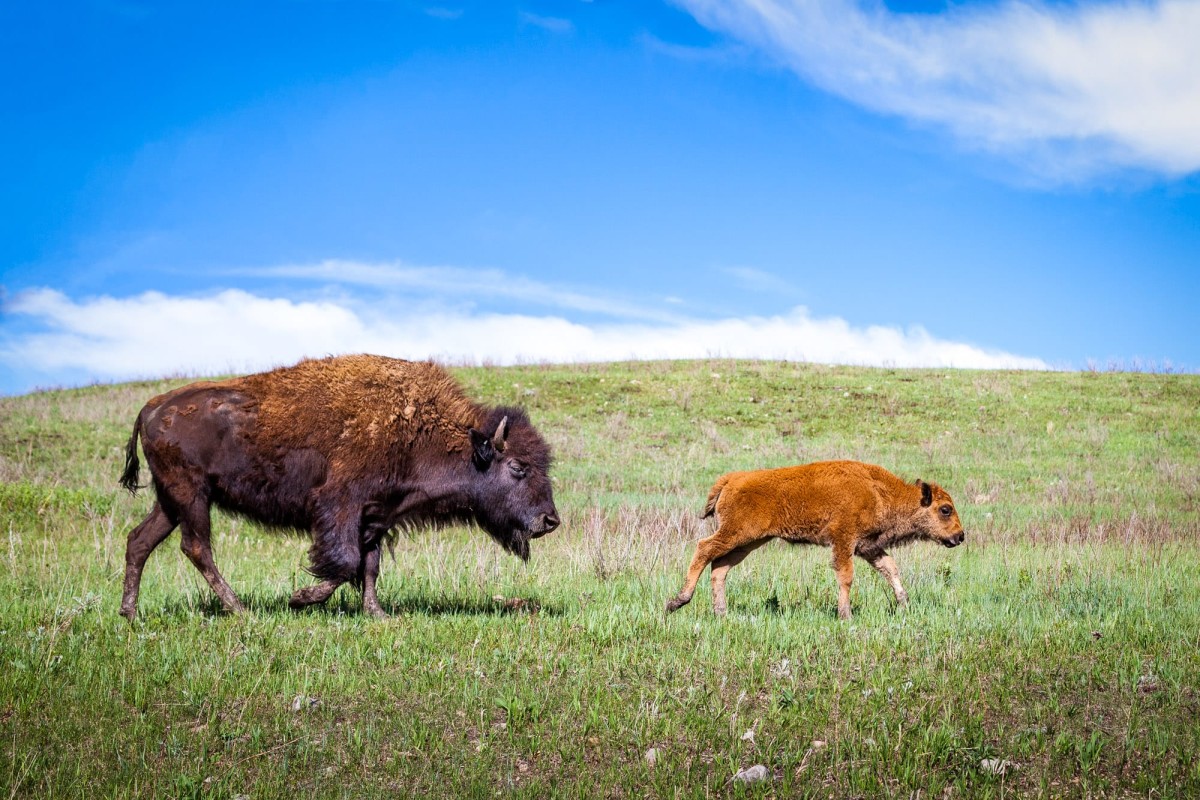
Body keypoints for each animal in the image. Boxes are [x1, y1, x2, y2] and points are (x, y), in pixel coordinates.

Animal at [117, 352, 556, 623]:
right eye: (517, 467)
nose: (549, 520)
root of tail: (151, 407)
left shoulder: (378, 514)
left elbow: (369, 565)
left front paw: (377, 613)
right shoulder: (340, 505)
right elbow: (345, 561)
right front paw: (300, 599)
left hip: (170, 501)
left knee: (139, 541)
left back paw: (130, 614)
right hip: (193, 495)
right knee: (196, 547)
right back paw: (239, 609)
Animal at [667, 460, 964, 623]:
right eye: (945, 509)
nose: (960, 536)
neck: (879, 491)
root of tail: (732, 479)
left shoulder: (868, 546)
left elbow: (890, 568)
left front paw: (904, 604)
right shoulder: (844, 540)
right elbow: (846, 575)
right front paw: (845, 615)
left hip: (748, 542)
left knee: (720, 566)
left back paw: (721, 613)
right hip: (736, 533)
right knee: (704, 549)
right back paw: (678, 601)